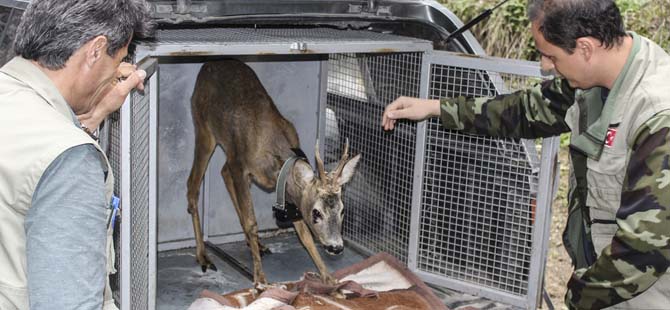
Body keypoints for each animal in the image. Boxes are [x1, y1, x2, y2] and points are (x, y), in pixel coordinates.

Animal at [186, 58, 360, 288]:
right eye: (316, 213)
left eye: (342, 210)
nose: (336, 247)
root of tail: (207, 65)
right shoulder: (240, 166)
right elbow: (252, 222)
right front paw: (260, 279)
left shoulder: (286, 193)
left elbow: (304, 235)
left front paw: (328, 277)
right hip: (204, 129)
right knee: (193, 184)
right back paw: (203, 256)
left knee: (222, 172)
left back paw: (256, 245)